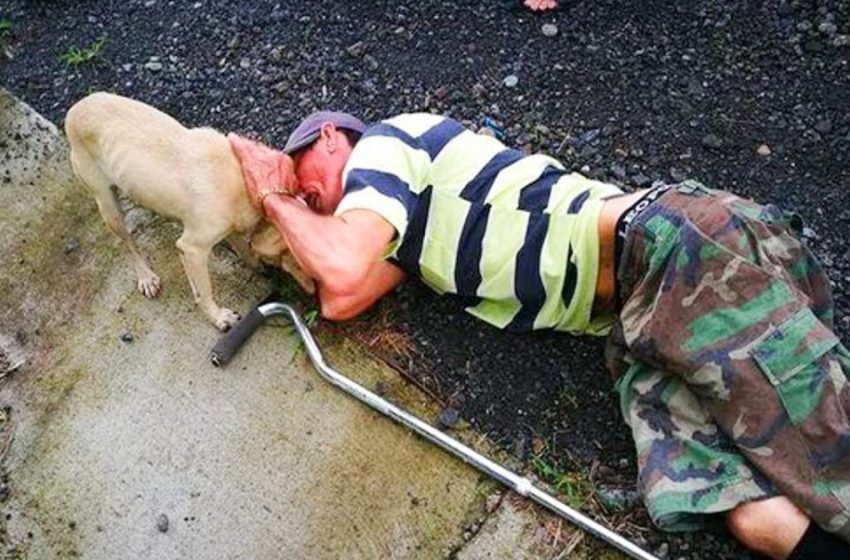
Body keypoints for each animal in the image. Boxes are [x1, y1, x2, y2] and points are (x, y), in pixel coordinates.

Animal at [63, 90, 314, 330]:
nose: (312, 292)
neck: (246, 182)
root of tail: (73, 111)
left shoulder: (226, 231)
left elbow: (240, 253)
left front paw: (257, 267)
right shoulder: (193, 247)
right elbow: (205, 291)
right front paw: (218, 317)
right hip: (108, 206)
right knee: (128, 242)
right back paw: (146, 277)